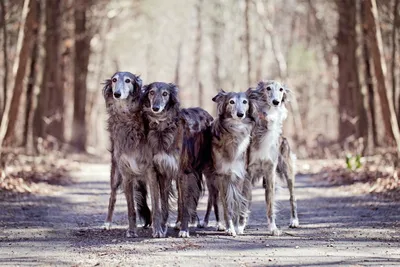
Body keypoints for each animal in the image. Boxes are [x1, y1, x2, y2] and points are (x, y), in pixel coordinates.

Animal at [101, 71, 153, 239]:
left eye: (128, 81)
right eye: (114, 80)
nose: (117, 94)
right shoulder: (126, 174)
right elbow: (131, 209)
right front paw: (131, 230)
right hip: (115, 174)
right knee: (112, 197)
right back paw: (107, 223)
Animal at [206, 90, 256, 237]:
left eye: (245, 102)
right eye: (231, 102)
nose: (240, 114)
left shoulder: (239, 176)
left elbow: (237, 204)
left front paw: (237, 227)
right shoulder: (222, 176)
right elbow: (226, 206)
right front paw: (230, 228)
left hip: (247, 183)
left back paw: (241, 225)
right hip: (212, 181)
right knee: (215, 202)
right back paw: (220, 224)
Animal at [244, 80, 300, 237]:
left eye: (281, 89)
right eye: (268, 88)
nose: (276, 102)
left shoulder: (270, 173)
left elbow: (270, 204)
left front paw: (273, 228)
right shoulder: (248, 172)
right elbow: (245, 201)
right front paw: (240, 226)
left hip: (288, 171)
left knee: (292, 197)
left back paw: (294, 221)